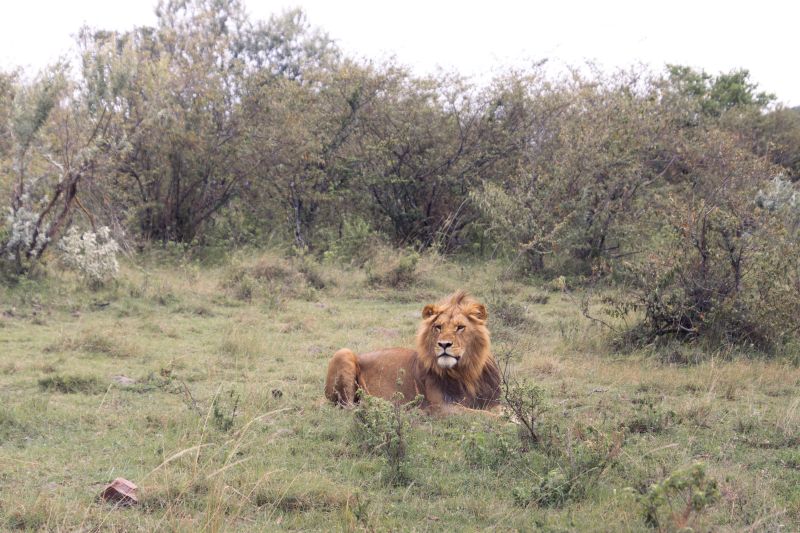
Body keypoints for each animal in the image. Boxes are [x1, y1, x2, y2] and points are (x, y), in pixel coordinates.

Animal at [324, 290, 501, 415]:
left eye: (460, 327)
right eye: (438, 327)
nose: (444, 344)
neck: (466, 372)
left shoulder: (493, 401)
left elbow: (496, 411)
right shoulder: (441, 407)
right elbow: (483, 415)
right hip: (343, 353)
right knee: (349, 408)